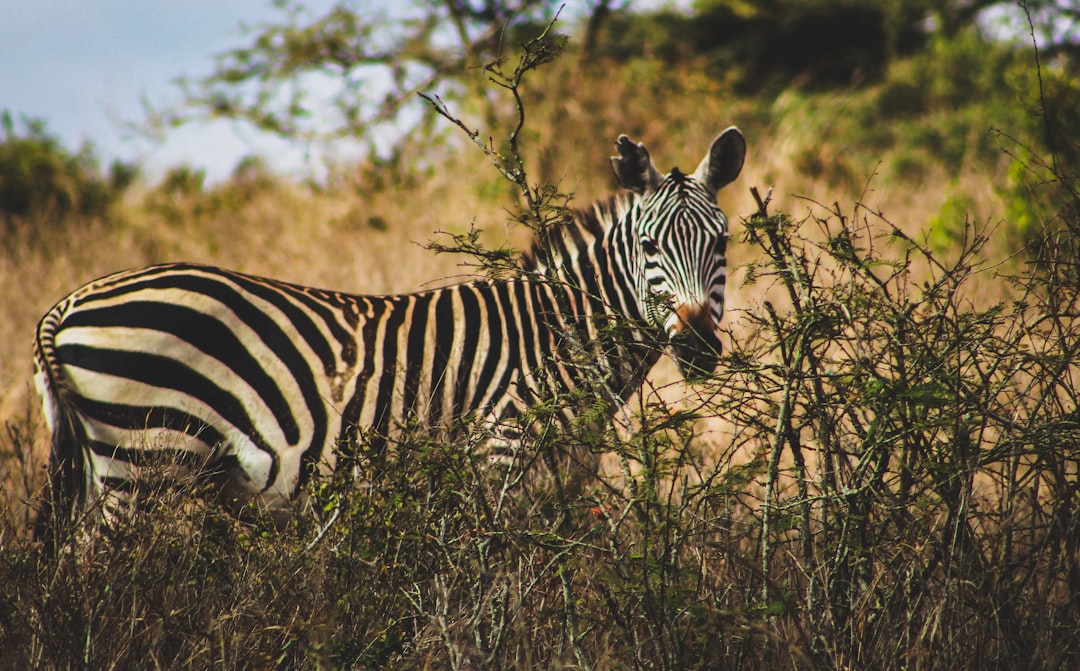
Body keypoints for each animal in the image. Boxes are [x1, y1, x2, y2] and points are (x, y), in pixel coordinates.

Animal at [31, 129, 743, 529]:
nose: (696, 347)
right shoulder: (499, 464)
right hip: (146, 461)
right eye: (648, 246)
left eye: (722, 242)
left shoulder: (559, 483)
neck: (559, 339)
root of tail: (67, 302)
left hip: (103, 468)